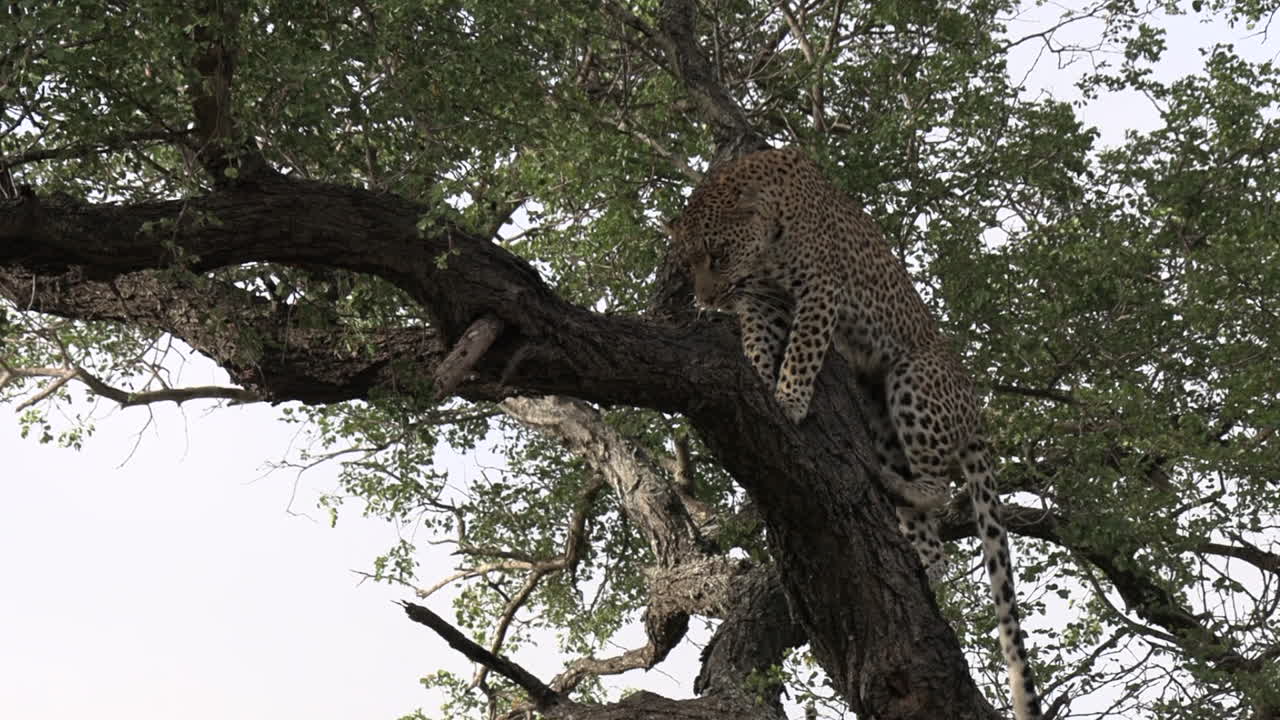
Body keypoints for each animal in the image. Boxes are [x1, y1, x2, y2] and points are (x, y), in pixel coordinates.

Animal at [669, 146, 1042, 720]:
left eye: (717, 253)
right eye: (688, 264)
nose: (707, 301)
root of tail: (975, 414)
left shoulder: (820, 289)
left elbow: (803, 347)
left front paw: (789, 398)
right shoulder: (761, 304)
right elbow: (758, 346)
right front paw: (759, 380)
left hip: (911, 379)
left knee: (938, 487)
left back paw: (896, 487)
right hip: (876, 409)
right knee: (932, 540)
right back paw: (920, 562)